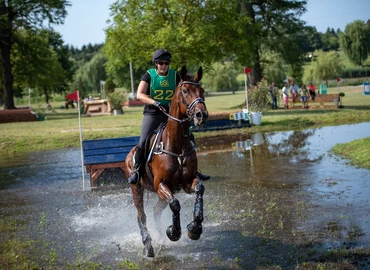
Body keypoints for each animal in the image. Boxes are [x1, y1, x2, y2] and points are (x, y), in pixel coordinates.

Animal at [125, 65, 208, 258]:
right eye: (185, 91)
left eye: (202, 91)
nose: (201, 115)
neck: (177, 146)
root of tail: (129, 154)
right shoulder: (161, 185)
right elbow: (175, 204)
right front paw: (174, 232)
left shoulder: (186, 182)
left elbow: (199, 190)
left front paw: (195, 228)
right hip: (136, 188)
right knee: (142, 216)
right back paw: (148, 246)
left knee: (156, 211)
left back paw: (160, 237)